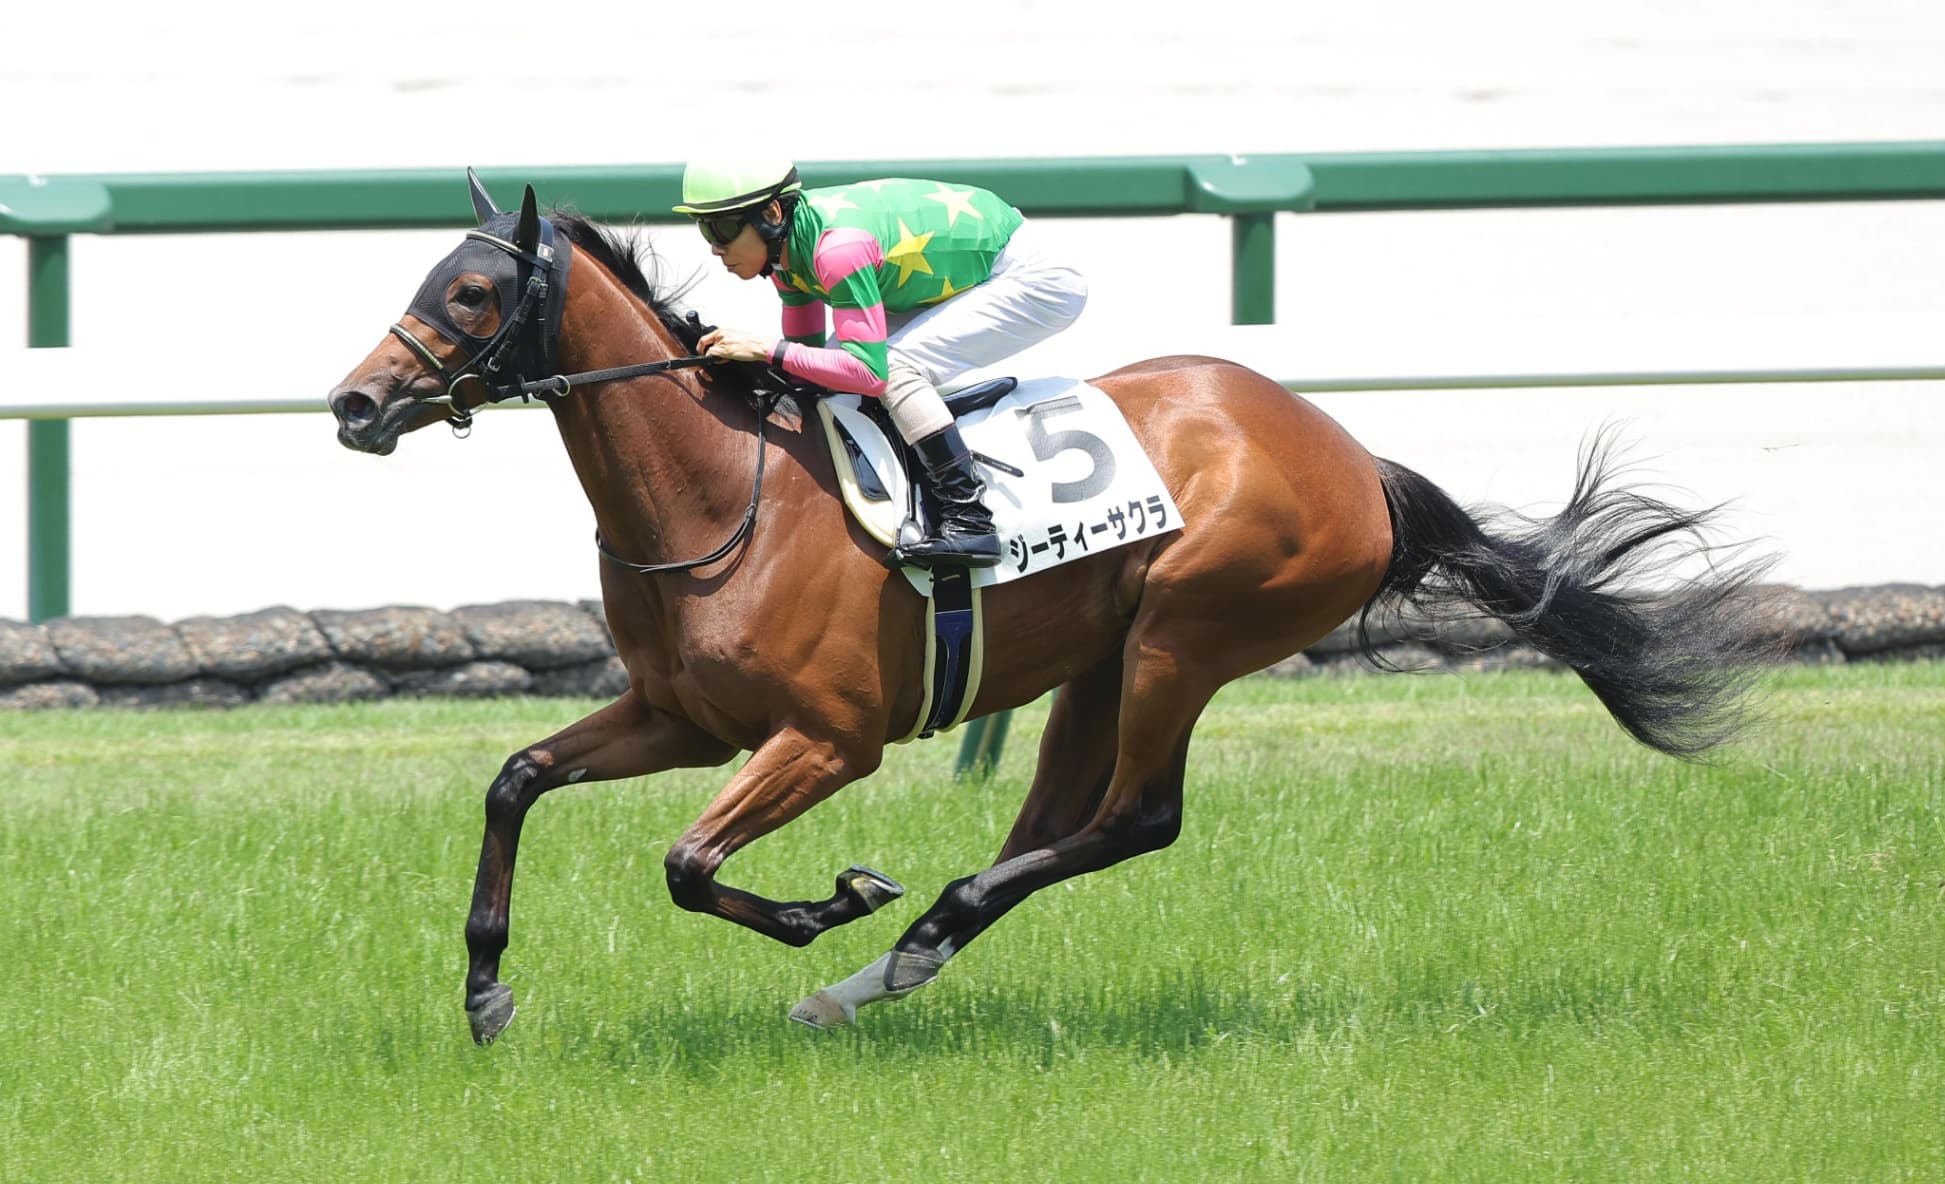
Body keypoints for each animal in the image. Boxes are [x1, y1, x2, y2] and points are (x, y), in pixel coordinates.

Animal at [327, 179, 1776, 1044]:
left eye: (469, 292)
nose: (354, 403)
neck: (716, 495)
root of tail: (1352, 455)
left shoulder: (829, 738)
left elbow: (688, 864)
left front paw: (832, 896)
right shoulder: (683, 716)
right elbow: (516, 779)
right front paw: (485, 987)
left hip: (1189, 633)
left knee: (1135, 818)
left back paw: (906, 930)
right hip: (1100, 657)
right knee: (1054, 825)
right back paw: (881, 972)